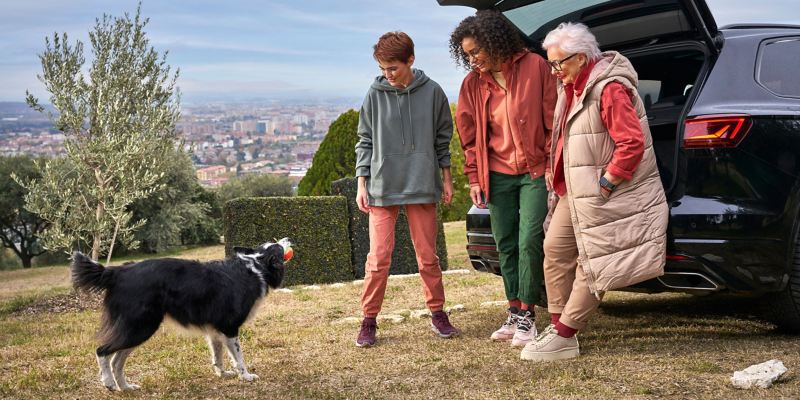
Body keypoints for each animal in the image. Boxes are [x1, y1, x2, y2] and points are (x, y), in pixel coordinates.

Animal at [72, 239, 290, 392]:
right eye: (279, 247)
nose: (288, 238)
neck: (255, 267)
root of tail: (117, 272)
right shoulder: (229, 327)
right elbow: (238, 356)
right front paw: (245, 376)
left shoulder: (215, 329)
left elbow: (217, 354)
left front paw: (221, 373)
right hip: (140, 326)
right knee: (102, 351)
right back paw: (109, 383)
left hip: (137, 328)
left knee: (117, 360)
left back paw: (125, 387)